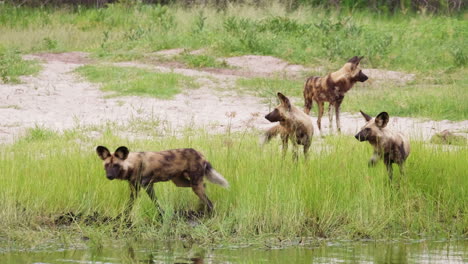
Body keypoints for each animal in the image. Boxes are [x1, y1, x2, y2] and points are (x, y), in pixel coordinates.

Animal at [95, 146, 229, 217]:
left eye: (116, 165)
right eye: (106, 165)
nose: (109, 176)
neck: (133, 164)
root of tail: (200, 154)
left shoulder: (147, 185)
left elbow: (155, 202)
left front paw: (162, 215)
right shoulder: (135, 188)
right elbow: (130, 204)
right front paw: (123, 217)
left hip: (195, 184)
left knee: (209, 202)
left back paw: (210, 215)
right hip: (181, 182)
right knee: (205, 187)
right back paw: (202, 209)